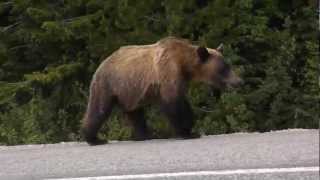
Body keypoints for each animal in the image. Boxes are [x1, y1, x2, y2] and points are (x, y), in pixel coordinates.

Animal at [80, 36, 242, 145]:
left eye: (228, 65)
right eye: (223, 68)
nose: (239, 82)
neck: (185, 65)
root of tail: (102, 63)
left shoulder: (180, 80)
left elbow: (183, 102)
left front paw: (191, 126)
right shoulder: (168, 73)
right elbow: (172, 104)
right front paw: (186, 132)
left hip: (130, 91)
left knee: (135, 113)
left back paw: (144, 135)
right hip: (109, 84)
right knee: (99, 109)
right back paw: (94, 139)